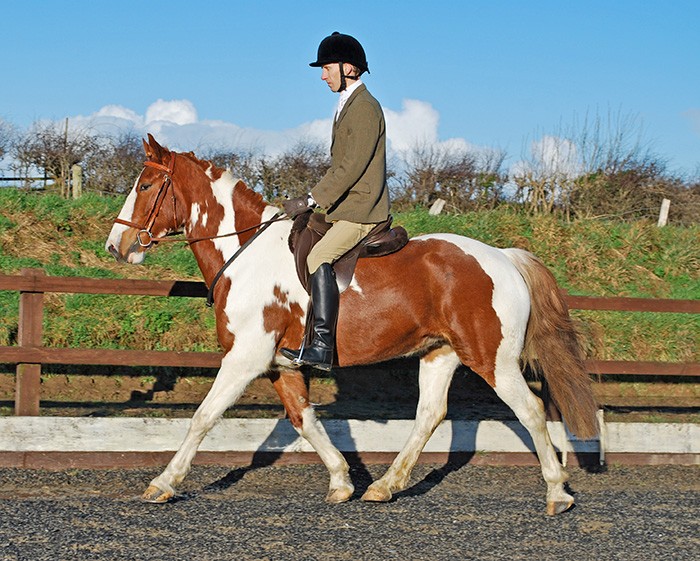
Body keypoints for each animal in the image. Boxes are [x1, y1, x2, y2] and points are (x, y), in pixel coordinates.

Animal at [106, 133, 600, 516]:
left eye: (145, 184)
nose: (116, 245)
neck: (245, 253)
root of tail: (504, 257)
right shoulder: (281, 365)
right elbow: (304, 420)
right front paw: (342, 481)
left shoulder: (245, 358)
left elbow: (203, 417)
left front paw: (164, 483)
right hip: (439, 353)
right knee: (429, 415)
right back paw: (384, 486)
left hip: (491, 358)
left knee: (530, 411)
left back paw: (557, 492)